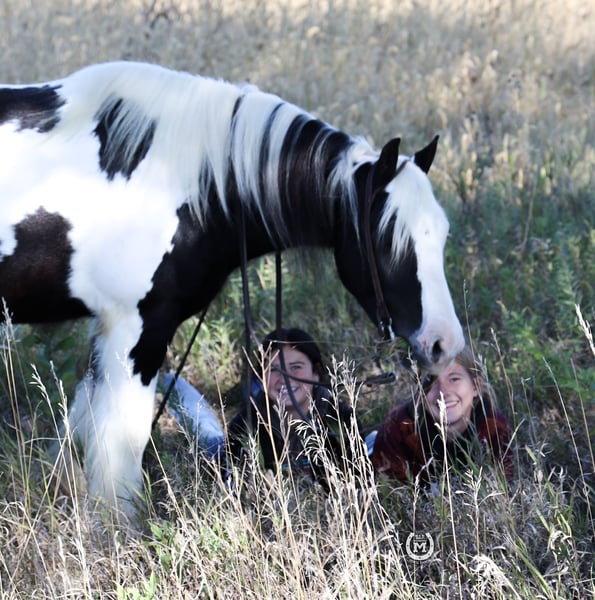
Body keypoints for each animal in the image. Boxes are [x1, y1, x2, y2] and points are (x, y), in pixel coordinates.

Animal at [0, 61, 464, 519]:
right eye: (389, 240)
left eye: (442, 234)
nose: (445, 342)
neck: (190, 181)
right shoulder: (138, 330)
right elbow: (120, 451)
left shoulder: (108, 331)